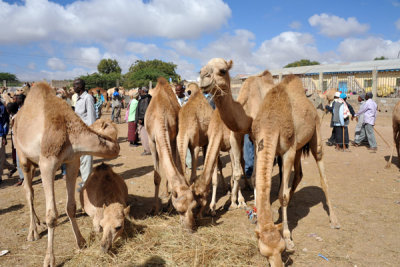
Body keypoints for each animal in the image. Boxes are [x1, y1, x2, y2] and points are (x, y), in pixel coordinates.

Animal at [13, 82, 120, 266]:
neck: (70, 131)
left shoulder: (72, 161)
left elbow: (71, 206)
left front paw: (81, 242)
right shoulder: (47, 163)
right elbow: (52, 215)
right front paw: (49, 259)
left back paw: (37, 223)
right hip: (23, 157)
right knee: (29, 192)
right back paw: (32, 232)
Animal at [146, 77, 198, 230]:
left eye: (194, 206)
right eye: (180, 210)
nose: (190, 227)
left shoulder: (172, 137)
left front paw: (168, 205)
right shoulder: (152, 141)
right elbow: (156, 177)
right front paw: (154, 209)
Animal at [252, 76, 340, 267]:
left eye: (282, 250)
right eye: (264, 252)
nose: (279, 265)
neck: (271, 123)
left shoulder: (287, 152)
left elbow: (282, 195)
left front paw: (287, 235)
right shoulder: (258, 146)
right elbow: (258, 182)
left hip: (315, 133)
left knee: (323, 177)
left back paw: (335, 220)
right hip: (299, 146)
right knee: (299, 174)